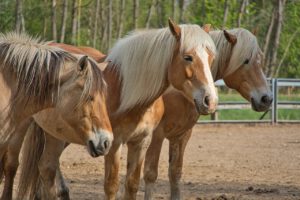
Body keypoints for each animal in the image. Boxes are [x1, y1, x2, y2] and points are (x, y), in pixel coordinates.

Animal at [144, 27, 274, 199]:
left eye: (261, 58)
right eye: (246, 60)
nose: (267, 98)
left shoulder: (182, 135)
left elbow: (175, 173)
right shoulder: (156, 135)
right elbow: (150, 175)